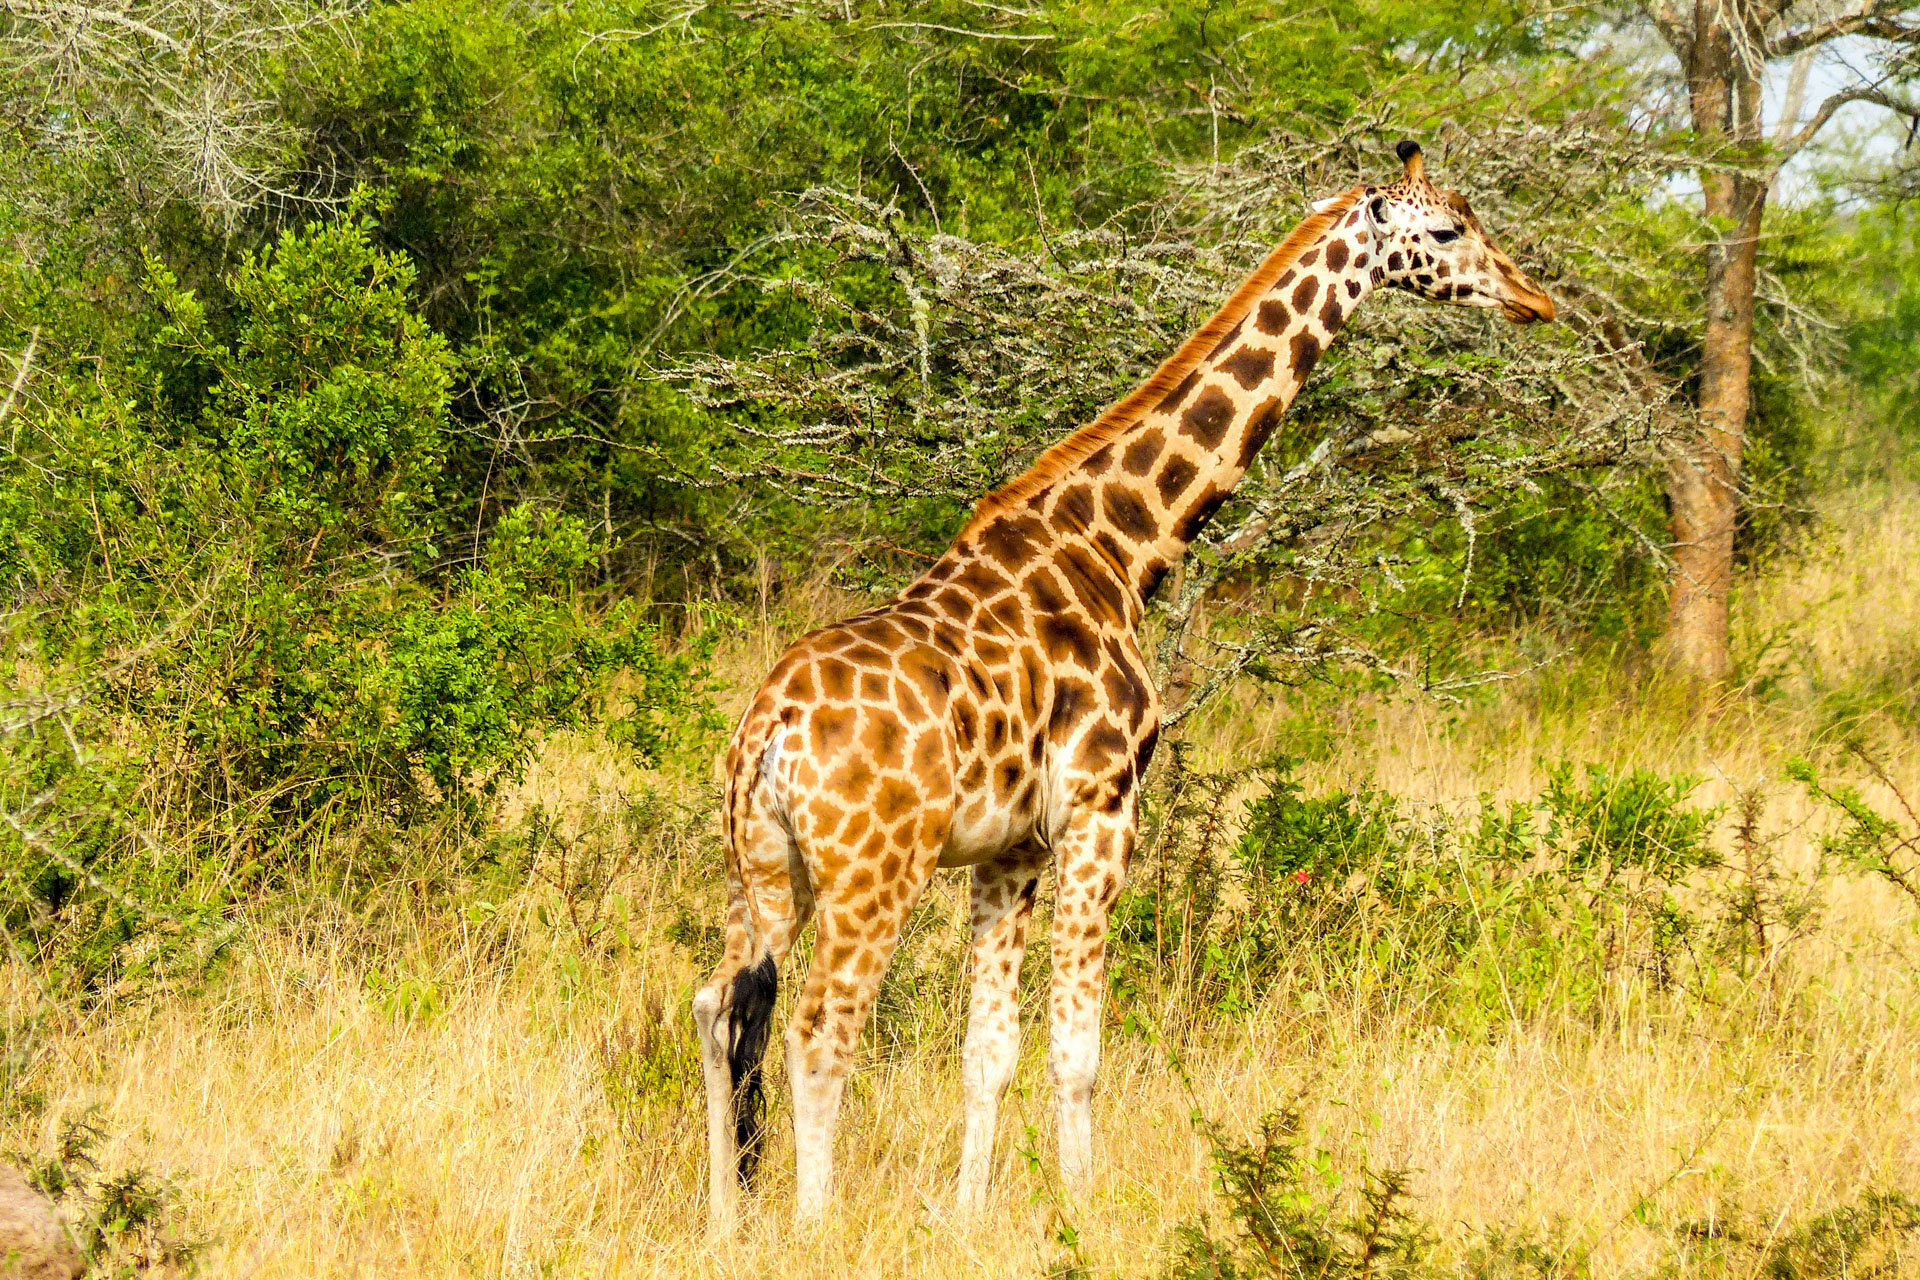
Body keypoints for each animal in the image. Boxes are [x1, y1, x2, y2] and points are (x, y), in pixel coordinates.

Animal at [691, 140, 1555, 1232]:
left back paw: (726, 1221)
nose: (1533, 298)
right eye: (1446, 230)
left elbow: (988, 1049)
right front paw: (1082, 1214)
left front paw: (970, 1218)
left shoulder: (1010, 845)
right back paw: (812, 1227)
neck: (1122, 546)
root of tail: (769, 733)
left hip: (760, 866)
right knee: (817, 1025)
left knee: (719, 1008)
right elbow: (1078, 1047)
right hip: (871, 871)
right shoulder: (1103, 807)